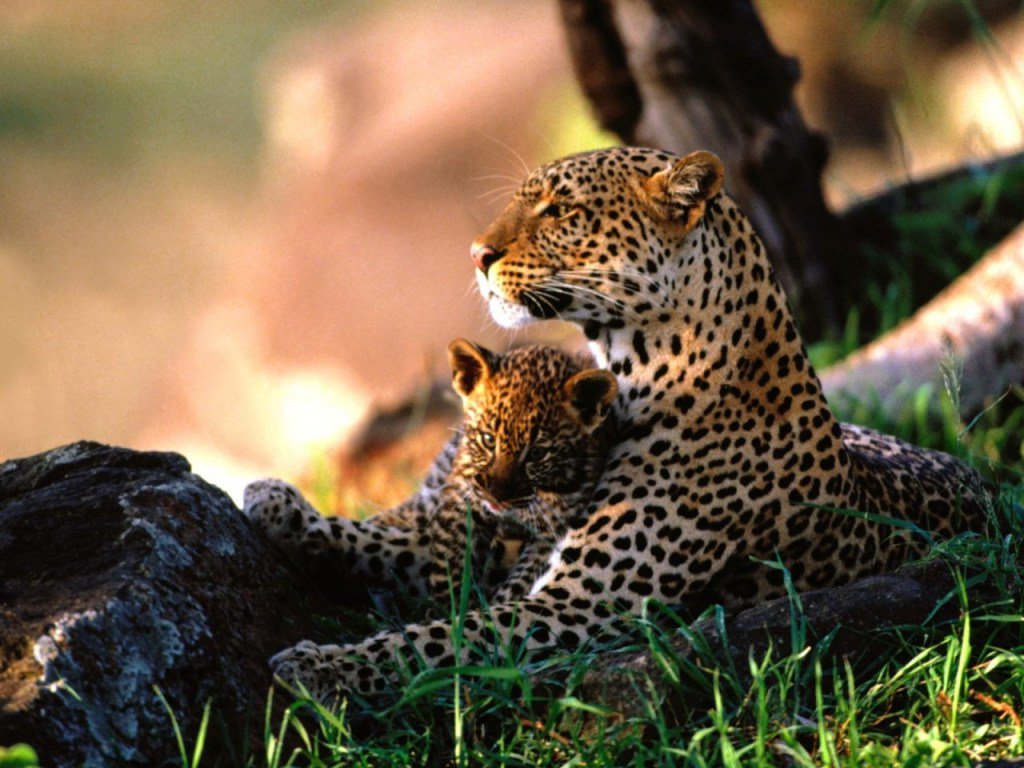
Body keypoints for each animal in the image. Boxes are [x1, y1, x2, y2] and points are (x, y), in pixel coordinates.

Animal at [244, 339, 616, 611]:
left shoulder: (543, 531)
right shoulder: (443, 501)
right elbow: (381, 530)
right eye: (488, 440)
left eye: (537, 454)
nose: (496, 496)